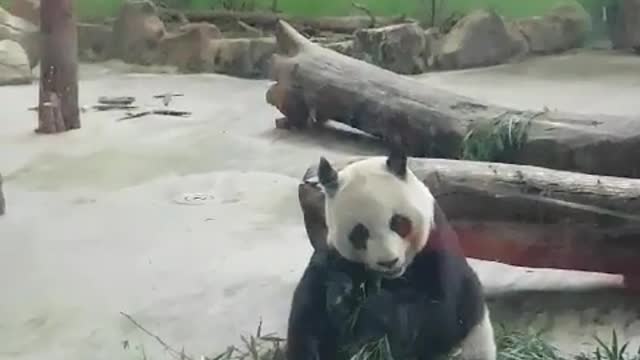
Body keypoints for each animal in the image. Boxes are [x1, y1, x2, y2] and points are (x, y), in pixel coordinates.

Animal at [288, 148, 498, 360]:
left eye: (398, 222)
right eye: (359, 233)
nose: (389, 262)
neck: (393, 278)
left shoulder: (437, 247)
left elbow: (440, 315)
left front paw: (373, 314)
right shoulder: (333, 257)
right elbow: (310, 315)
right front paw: (342, 299)